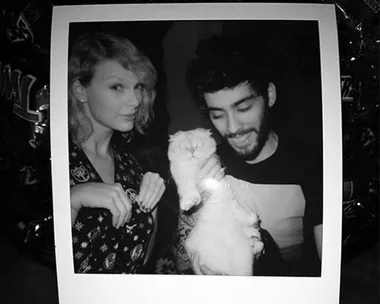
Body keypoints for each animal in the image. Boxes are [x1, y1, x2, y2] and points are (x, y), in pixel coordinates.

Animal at [168, 127, 262, 276]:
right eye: (184, 147)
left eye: (199, 144)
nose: (192, 150)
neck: (195, 168)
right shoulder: (183, 180)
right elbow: (189, 190)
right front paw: (189, 202)